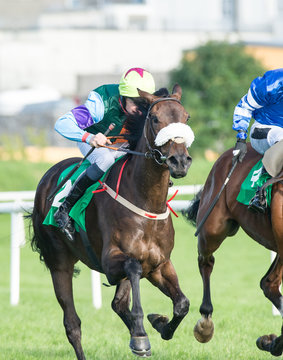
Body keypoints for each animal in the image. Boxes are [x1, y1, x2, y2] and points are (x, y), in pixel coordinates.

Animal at [29, 85, 195, 360]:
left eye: (186, 117)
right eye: (155, 118)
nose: (179, 161)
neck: (146, 202)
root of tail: (48, 176)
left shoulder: (160, 263)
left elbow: (182, 304)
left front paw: (159, 324)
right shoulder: (112, 261)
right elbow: (134, 268)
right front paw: (141, 333)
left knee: (117, 304)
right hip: (59, 263)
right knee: (72, 324)